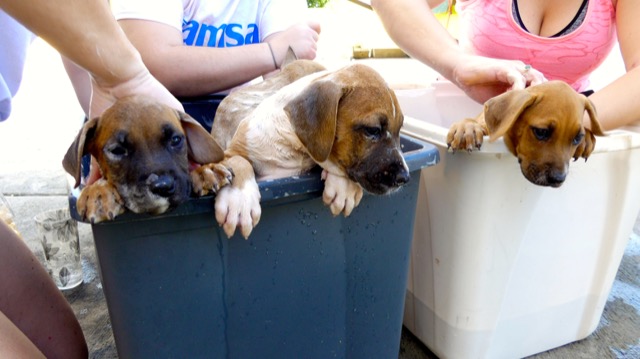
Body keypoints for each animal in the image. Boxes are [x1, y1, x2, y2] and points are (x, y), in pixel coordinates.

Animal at [196, 62, 410, 239]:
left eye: (399, 130)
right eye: (373, 130)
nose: (405, 178)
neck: (291, 145)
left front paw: (344, 189)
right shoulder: (230, 152)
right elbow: (240, 162)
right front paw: (239, 200)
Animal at [444, 81, 604, 188]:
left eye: (577, 138)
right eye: (541, 132)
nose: (558, 179)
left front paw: (586, 139)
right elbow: (472, 122)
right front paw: (467, 128)